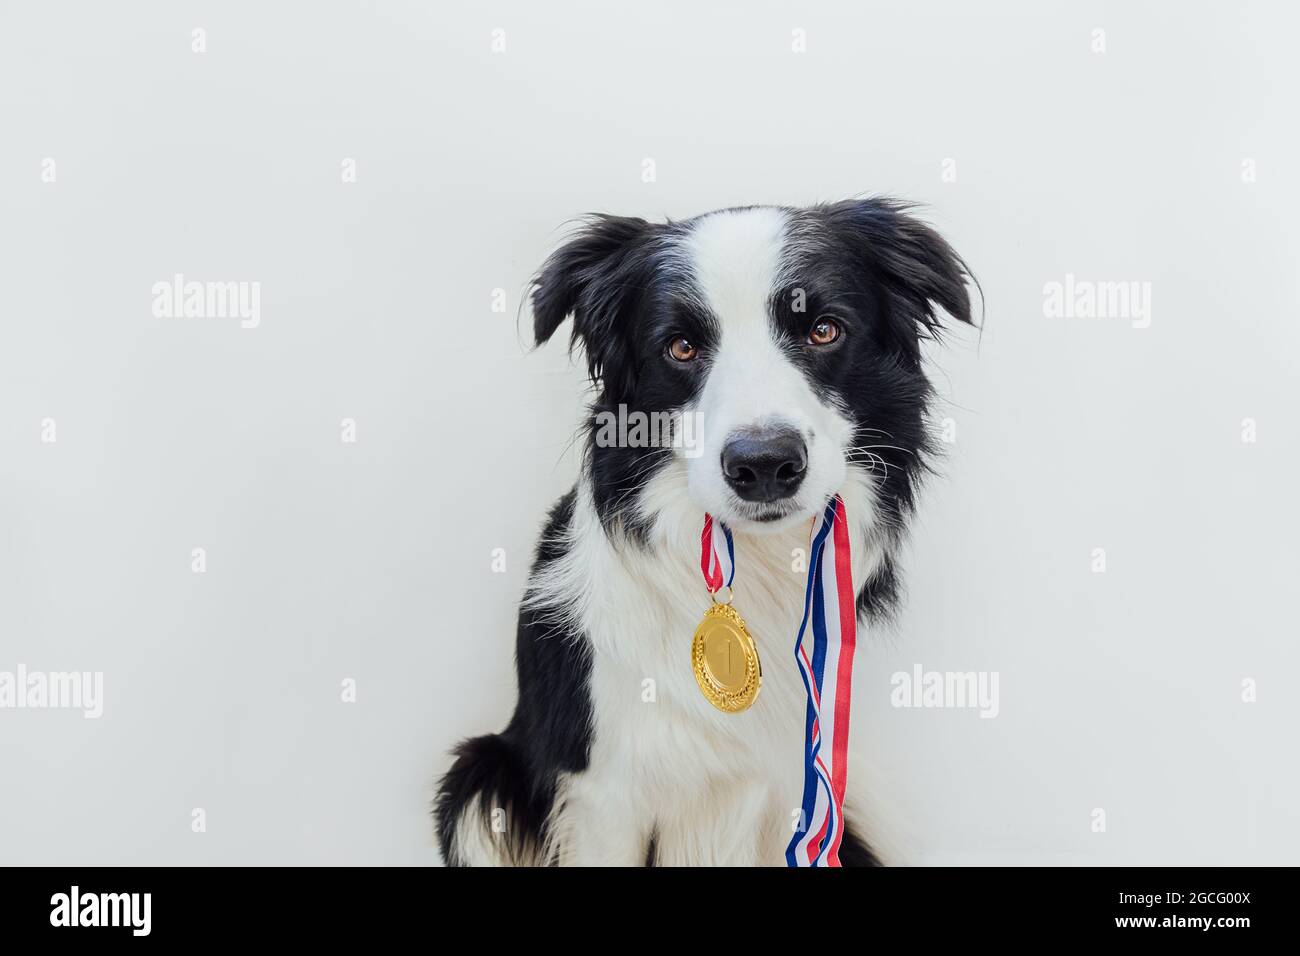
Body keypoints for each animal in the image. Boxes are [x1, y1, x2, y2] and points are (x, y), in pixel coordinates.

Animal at [436, 197, 977, 863]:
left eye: (824, 330)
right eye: (681, 347)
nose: (764, 464)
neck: (756, 564)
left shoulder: (801, 790)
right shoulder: (604, 793)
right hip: (478, 781)